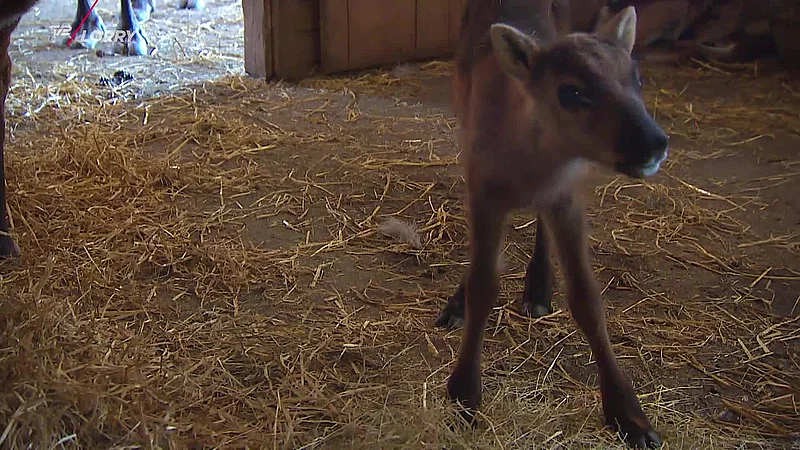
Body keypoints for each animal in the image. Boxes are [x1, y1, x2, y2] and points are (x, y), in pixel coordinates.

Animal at [444, 3, 668, 450]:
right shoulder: (484, 191)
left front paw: (630, 416)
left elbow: (588, 298)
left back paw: (538, 289)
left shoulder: (567, 196)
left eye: (637, 77)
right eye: (571, 92)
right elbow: (483, 286)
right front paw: (464, 394)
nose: (653, 143)